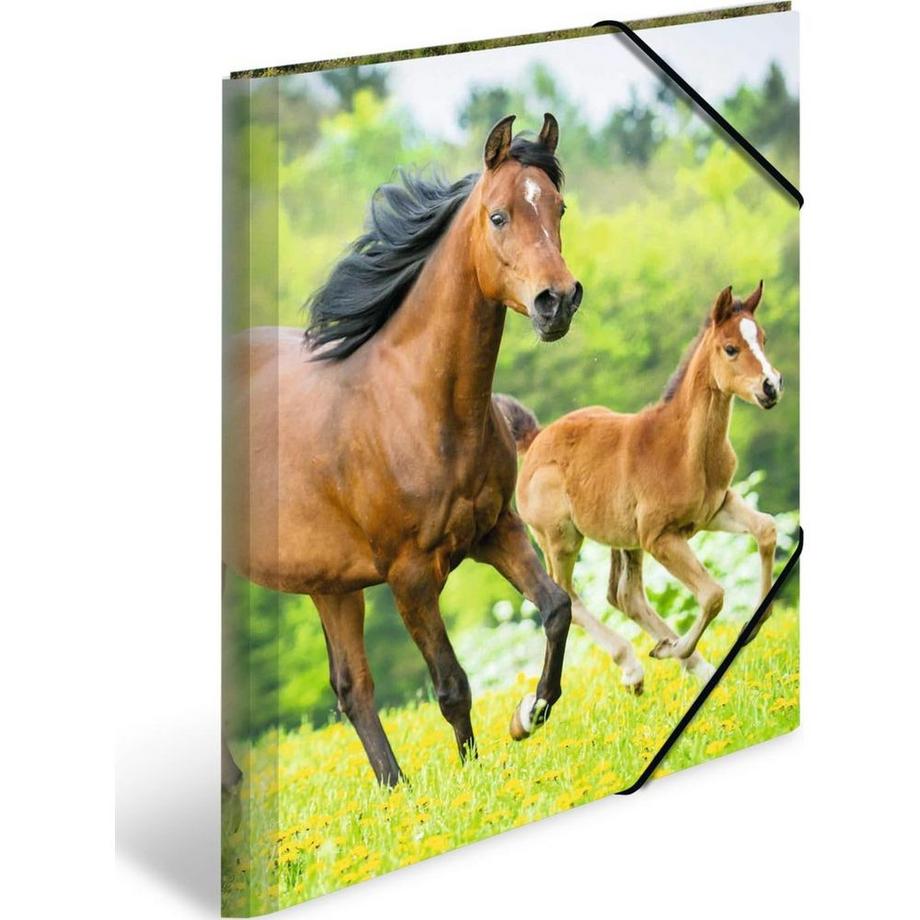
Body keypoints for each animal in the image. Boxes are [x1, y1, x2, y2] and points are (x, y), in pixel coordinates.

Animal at [223, 114, 584, 791]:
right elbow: (452, 685)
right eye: (499, 216)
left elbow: (555, 608)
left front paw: (529, 713)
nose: (558, 301)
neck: (420, 406)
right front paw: (473, 779)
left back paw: (396, 792)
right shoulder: (410, 576)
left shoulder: (495, 530)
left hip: (330, 585)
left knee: (352, 688)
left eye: (558, 207)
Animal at [497, 281, 782, 688]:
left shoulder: (716, 508)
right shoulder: (659, 536)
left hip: (623, 538)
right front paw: (676, 648)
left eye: (762, 338)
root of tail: (535, 440)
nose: (771, 386)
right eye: (731, 348)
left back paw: (690, 661)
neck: (684, 448)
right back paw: (635, 665)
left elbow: (767, 530)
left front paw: (752, 625)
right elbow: (713, 594)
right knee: (567, 596)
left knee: (624, 596)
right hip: (560, 539)